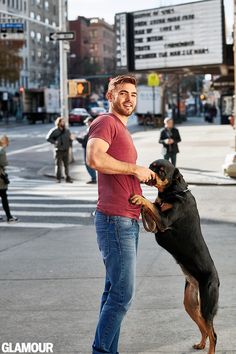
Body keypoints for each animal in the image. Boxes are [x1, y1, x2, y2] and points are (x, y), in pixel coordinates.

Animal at [129, 160, 219, 354]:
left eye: (161, 170)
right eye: (152, 165)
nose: (147, 170)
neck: (174, 192)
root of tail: (217, 280)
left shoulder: (163, 222)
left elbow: (151, 204)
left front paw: (140, 198)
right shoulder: (156, 224)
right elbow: (153, 205)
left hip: (207, 304)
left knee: (213, 333)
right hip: (190, 303)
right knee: (203, 328)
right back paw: (201, 344)